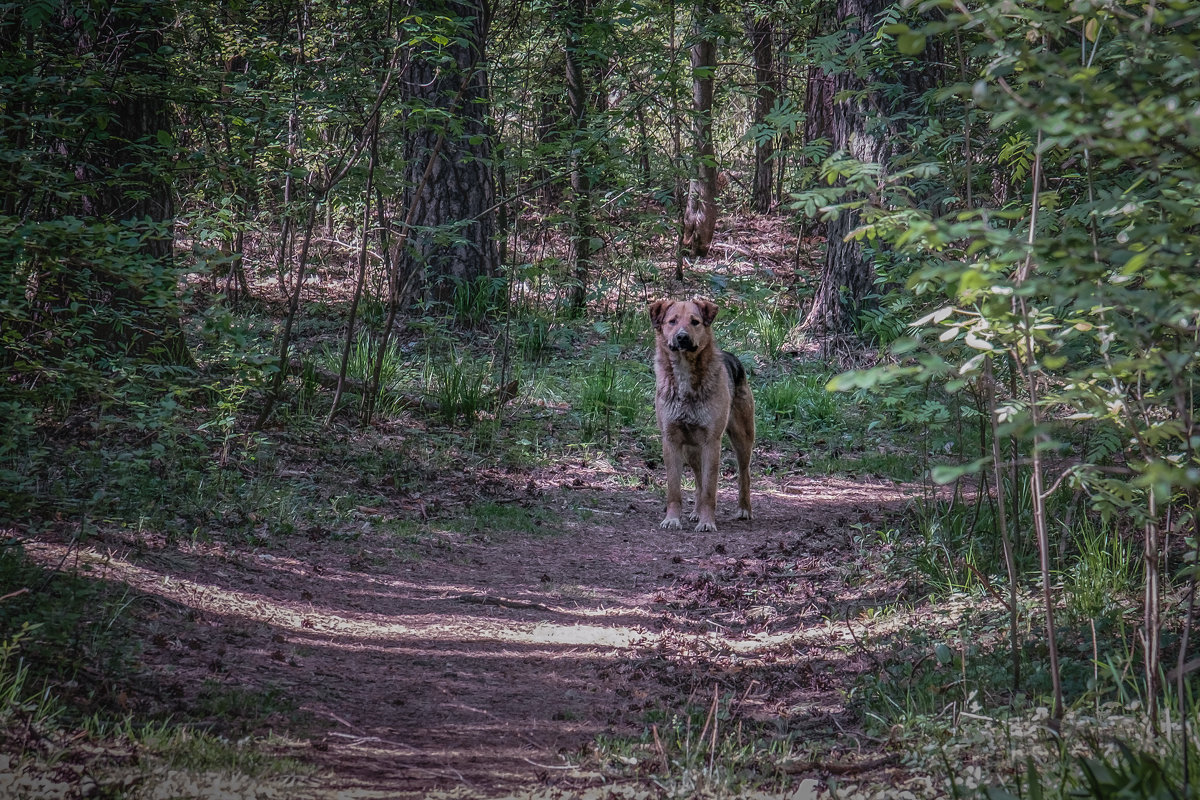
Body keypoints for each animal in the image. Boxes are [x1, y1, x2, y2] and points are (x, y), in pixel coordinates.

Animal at [652, 296, 753, 532]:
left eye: (695, 322)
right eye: (672, 321)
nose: (682, 337)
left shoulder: (711, 442)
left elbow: (709, 490)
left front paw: (707, 522)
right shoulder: (671, 441)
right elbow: (675, 490)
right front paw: (673, 519)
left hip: (742, 439)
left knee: (744, 473)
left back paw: (744, 509)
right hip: (691, 449)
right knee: (698, 478)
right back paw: (696, 512)